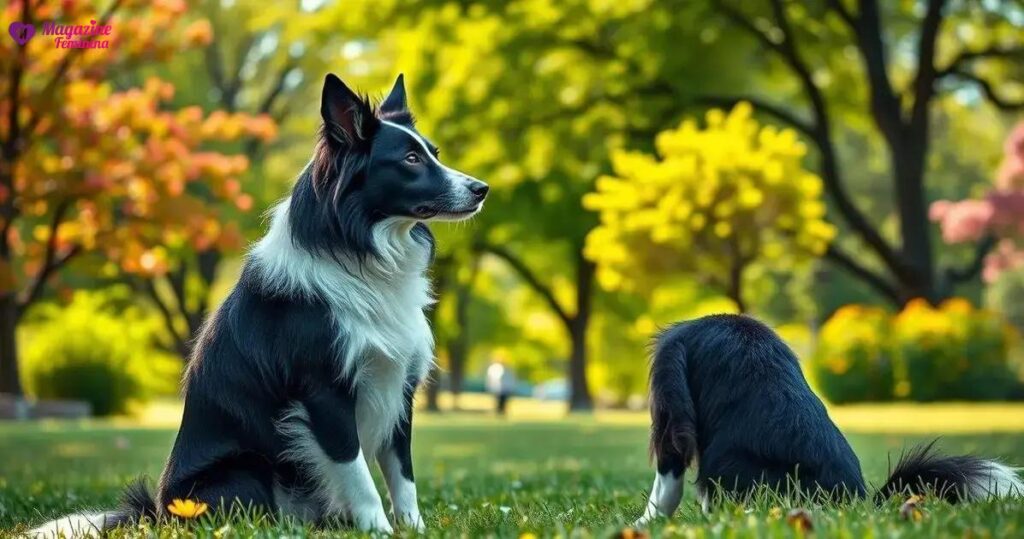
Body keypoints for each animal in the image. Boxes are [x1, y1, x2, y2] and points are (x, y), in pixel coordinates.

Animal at [32, 73, 487, 536]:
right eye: (411, 159)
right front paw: (378, 529)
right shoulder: (324, 393)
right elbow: (358, 474)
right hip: (246, 470)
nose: (482, 189)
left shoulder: (398, 384)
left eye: (433, 154)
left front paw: (414, 528)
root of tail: (159, 511)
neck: (359, 248)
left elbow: (402, 475)